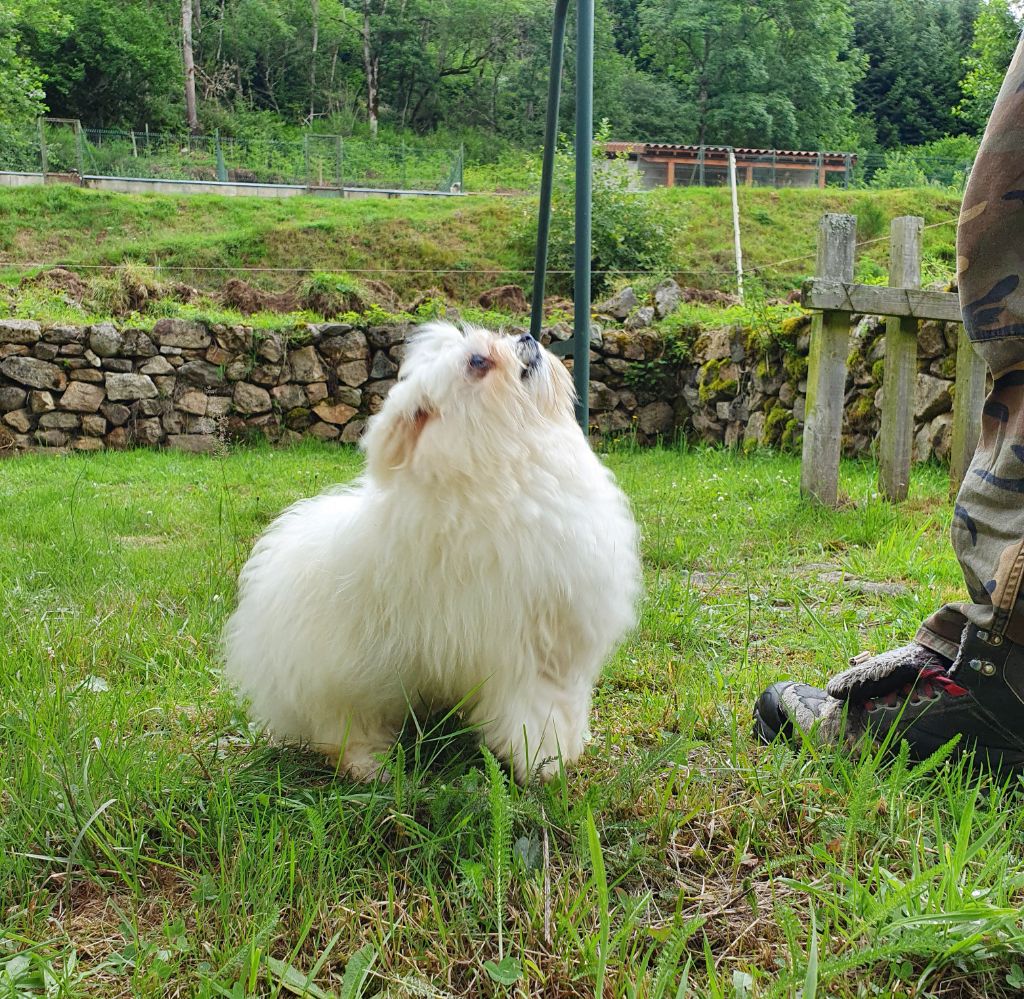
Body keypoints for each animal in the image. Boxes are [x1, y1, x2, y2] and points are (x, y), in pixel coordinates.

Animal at [224, 319, 638, 782]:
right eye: (478, 362)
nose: (528, 339)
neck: (508, 462)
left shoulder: (563, 644)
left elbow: (563, 704)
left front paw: (567, 750)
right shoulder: (516, 651)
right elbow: (533, 711)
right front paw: (541, 764)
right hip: (346, 683)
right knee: (343, 732)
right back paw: (373, 768)